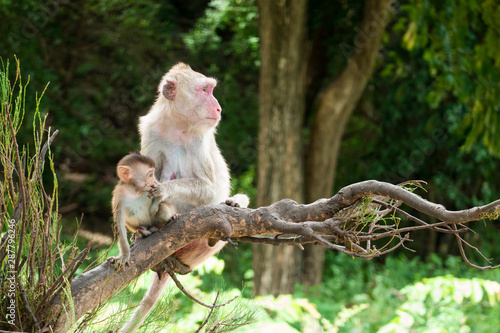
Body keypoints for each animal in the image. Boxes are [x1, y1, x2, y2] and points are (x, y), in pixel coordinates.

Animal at [121, 63, 250, 332]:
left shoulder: (201, 137)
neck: (177, 124)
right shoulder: (151, 131)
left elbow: (209, 189)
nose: (218, 107)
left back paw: (231, 207)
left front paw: (164, 189)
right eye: (205, 90)